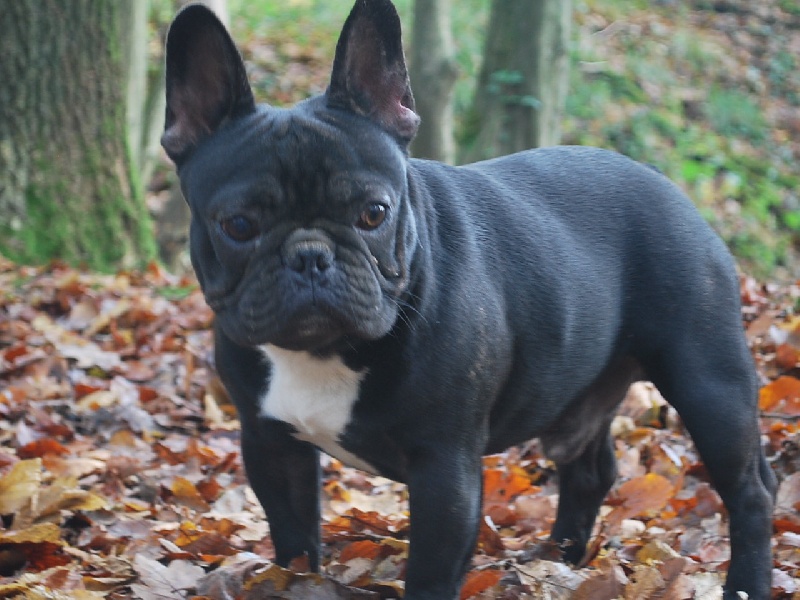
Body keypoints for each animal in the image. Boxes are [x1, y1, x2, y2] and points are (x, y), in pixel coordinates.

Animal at [161, 1, 775, 598]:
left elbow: (430, 573)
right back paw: (561, 559)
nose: (311, 255)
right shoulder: (270, 443)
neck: (325, 353)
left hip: (708, 382)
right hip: (582, 394)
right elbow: (293, 542)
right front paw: (293, 582)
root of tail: (673, 189)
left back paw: (746, 585)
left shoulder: (445, 469)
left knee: (750, 490)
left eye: (374, 213)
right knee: (589, 469)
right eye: (238, 225)